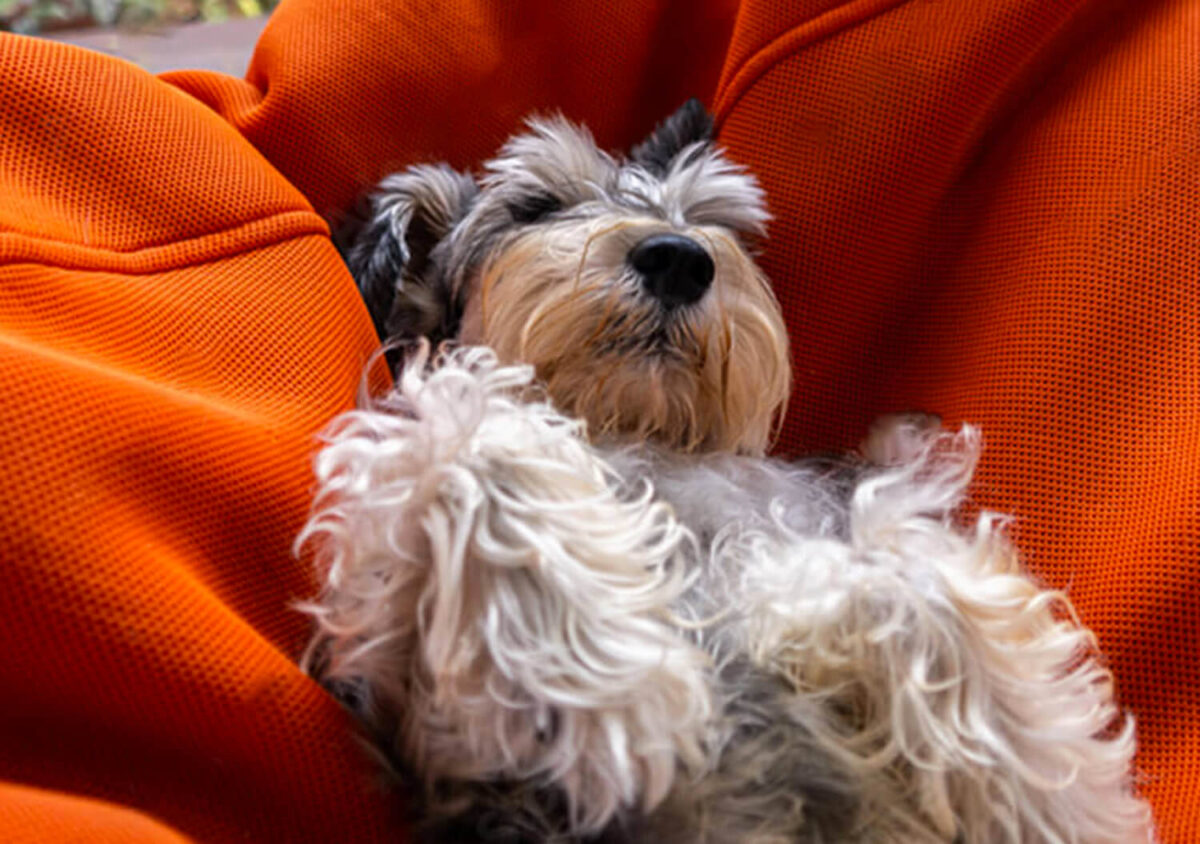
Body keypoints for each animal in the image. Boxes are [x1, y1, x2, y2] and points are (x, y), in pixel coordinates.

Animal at [300, 102, 1152, 840]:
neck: (634, 432)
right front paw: (609, 689)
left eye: (706, 218)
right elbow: (475, 442)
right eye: (535, 206)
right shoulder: (433, 728)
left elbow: (913, 584)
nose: (680, 259)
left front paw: (1058, 806)